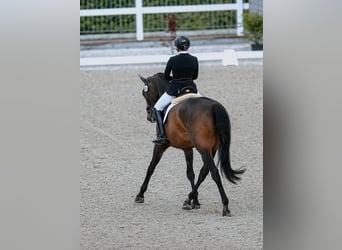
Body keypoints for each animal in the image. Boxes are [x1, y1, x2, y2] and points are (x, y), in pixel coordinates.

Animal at [134, 72, 246, 215]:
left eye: (144, 93)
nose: (150, 116)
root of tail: (213, 106)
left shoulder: (160, 145)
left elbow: (151, 167)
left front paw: (140, 195)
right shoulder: (187, 148)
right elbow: (190, 173)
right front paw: (195, 202)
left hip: (203, 149)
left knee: (214, 172)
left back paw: (225, 206)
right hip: (212, 149)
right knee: (204, 172)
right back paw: (188, 200)